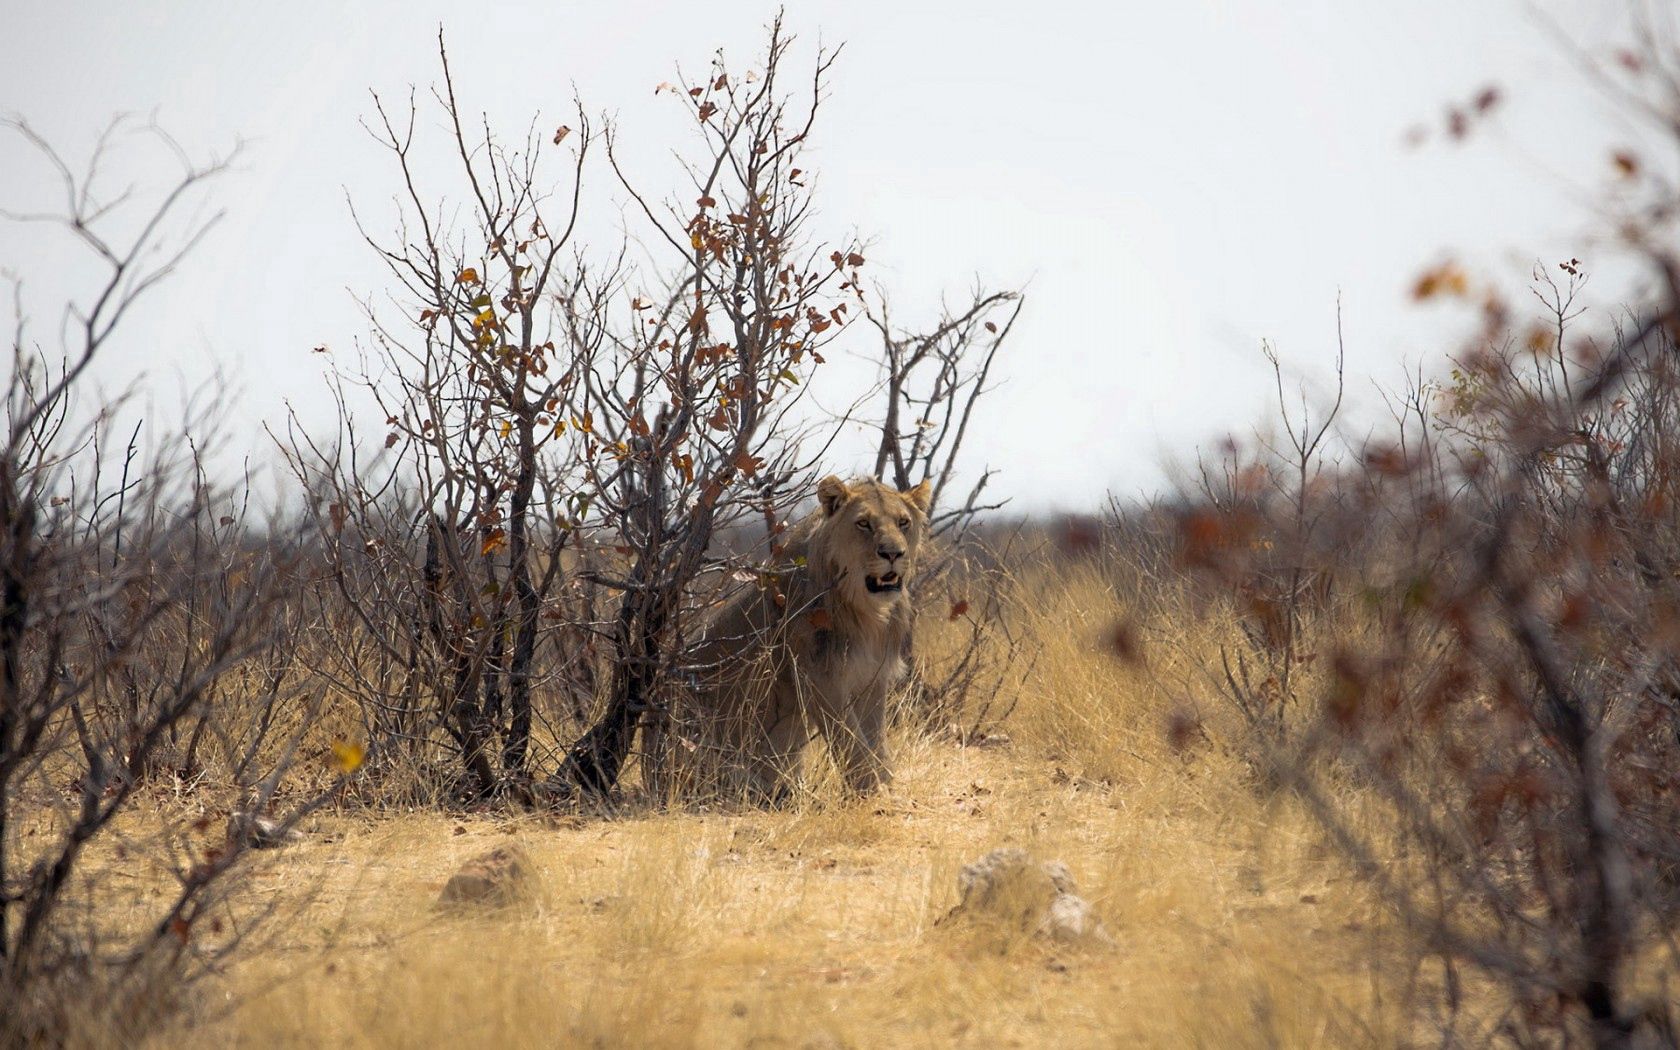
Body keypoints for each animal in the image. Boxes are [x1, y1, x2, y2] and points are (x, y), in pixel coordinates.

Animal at [651, 473, 927, 803]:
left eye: (903, 523)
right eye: (864, 524)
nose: (893, 554)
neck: (867, 612)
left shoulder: (873, 677)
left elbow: (876, 742)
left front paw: (886, 788)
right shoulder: (819, 680)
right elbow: (853, 744)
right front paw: (873, 794)